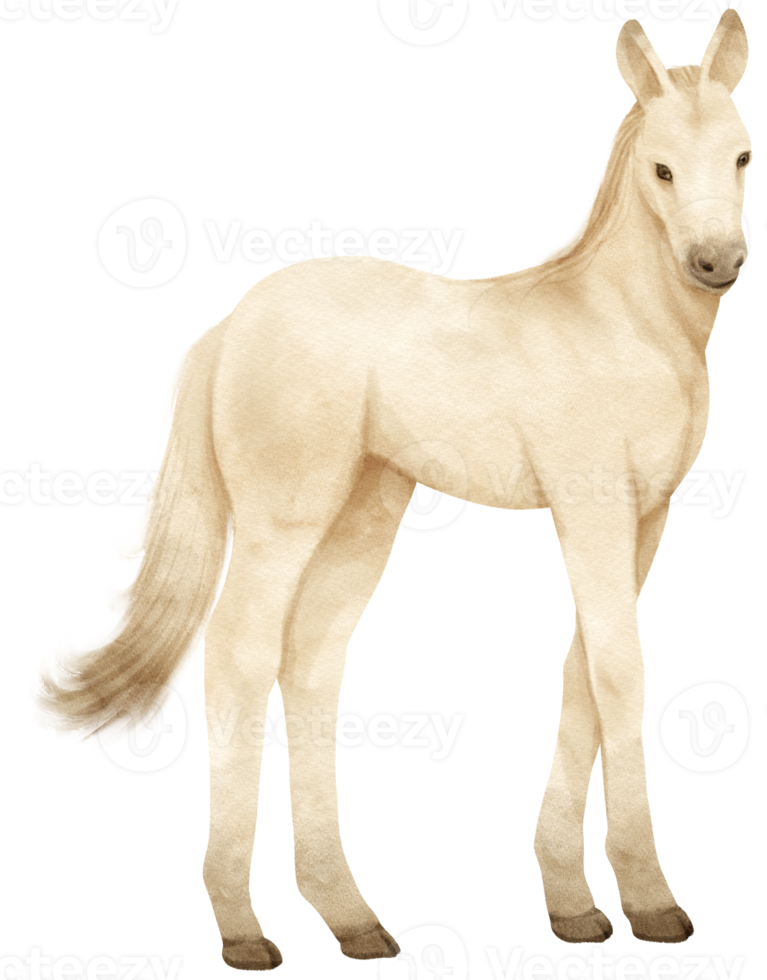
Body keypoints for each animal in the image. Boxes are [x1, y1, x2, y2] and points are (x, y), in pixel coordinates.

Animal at [27, 8, 752, 968]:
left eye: (742, 156)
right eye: (662, 169)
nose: (715, 263)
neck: (622, 324)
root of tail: (230, 324)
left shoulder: (647, 517)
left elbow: (579, 674)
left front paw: (572, 907)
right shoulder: (588, 507)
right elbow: (617, 673)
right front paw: (650, 903)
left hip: (361, 521)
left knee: (310, 667)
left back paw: (352, 920)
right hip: (284, 517)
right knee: (239, 656)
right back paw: (244, 931)